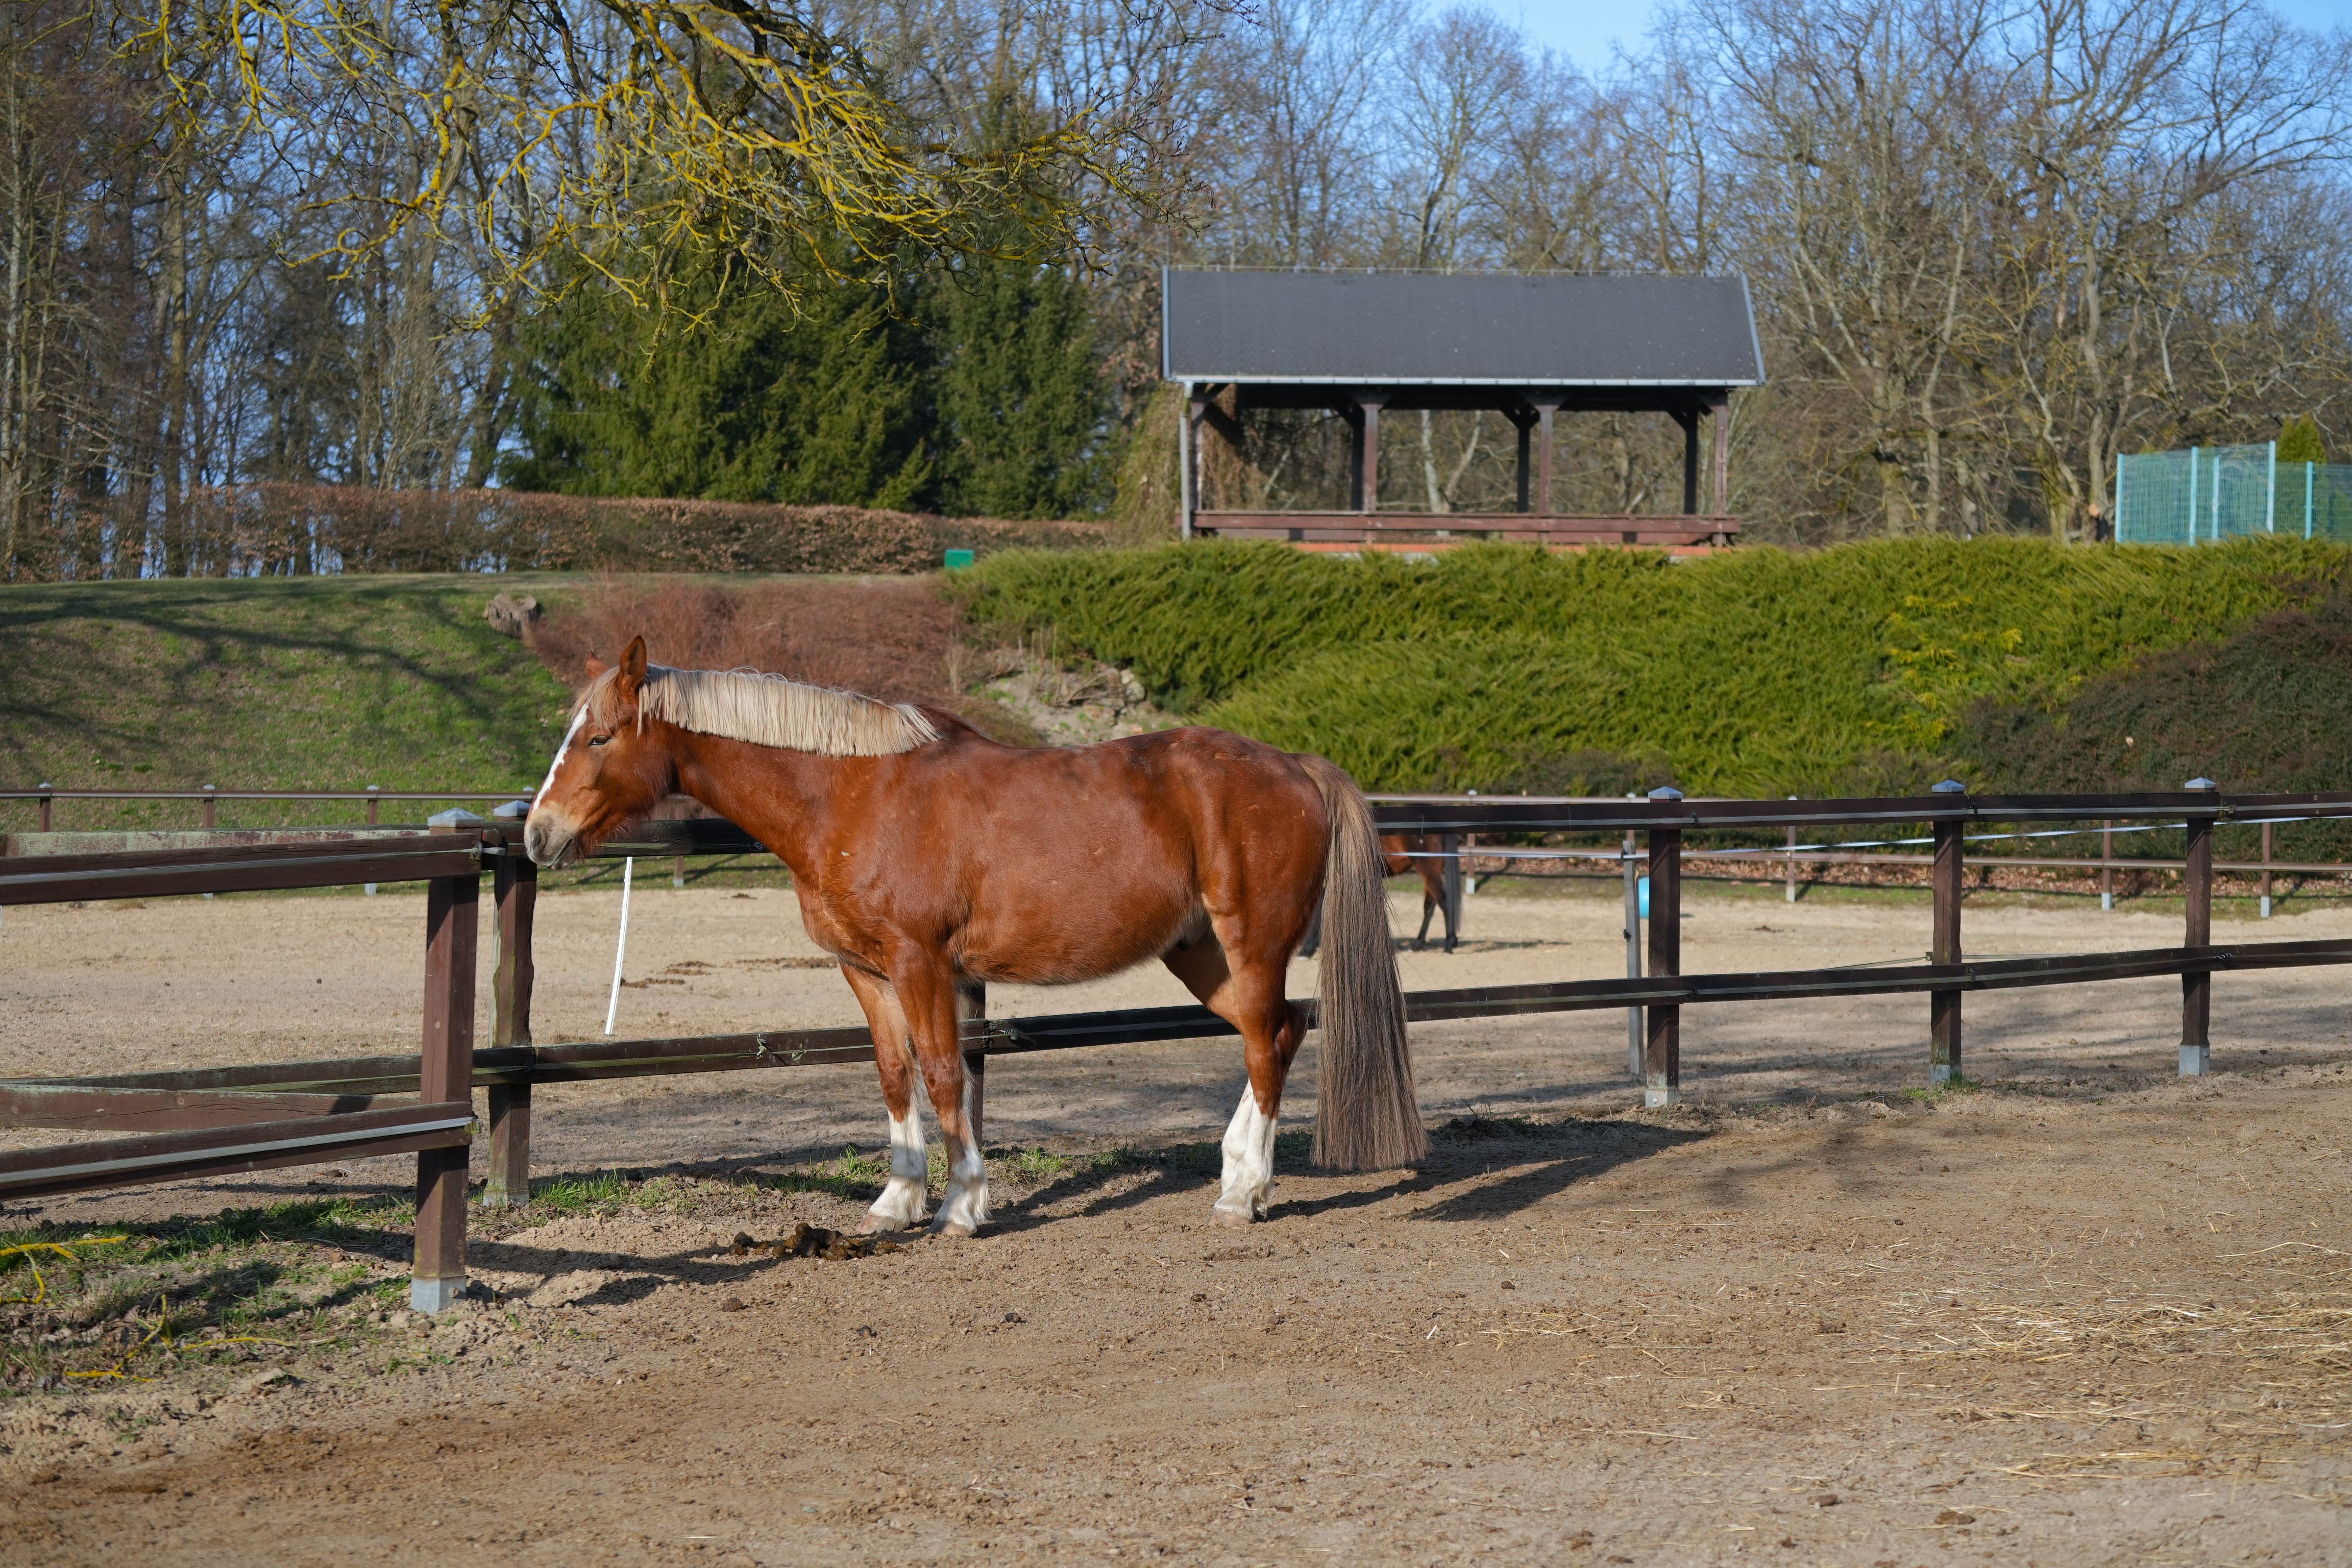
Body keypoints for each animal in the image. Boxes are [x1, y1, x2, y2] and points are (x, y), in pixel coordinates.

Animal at [524, 636, 1427, 1235]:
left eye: (599, 736)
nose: (537, 834)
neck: (850, 793)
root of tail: (1297, 765)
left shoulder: (921, 962)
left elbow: (944, 1073)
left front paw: (962, 1202)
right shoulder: (865, 971)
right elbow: (895, 1074)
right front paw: (895, 1201)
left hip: (1254, 943)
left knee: (1267, 1043)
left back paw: (1244, 1195)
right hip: (1200, 954)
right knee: (1276, 1032)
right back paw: (1242, 1173)